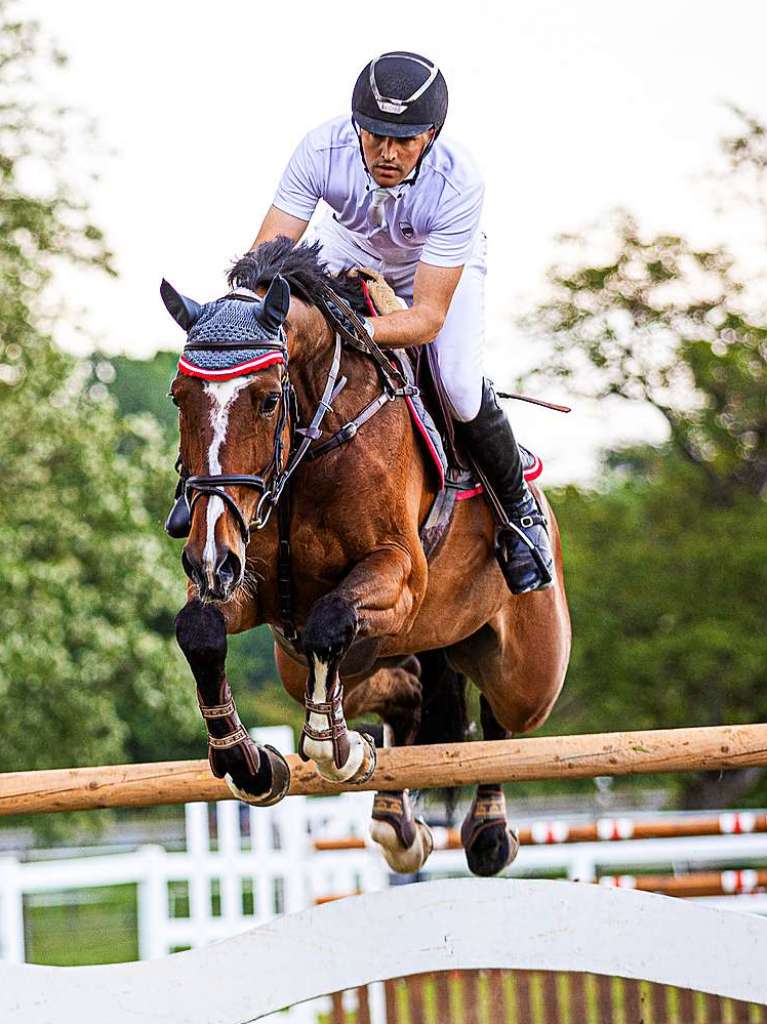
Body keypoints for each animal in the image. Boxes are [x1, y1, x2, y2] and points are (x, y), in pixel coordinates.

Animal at [161, 235, 569, 876]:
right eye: (179, 398)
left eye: (268, 400)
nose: (208, 557)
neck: (312, 441)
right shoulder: (249, 585)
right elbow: (199, 631)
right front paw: (248, 764)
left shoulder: (399, 574)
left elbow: (329, 620)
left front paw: (333, 747)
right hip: (327, 660)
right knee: (406, 695)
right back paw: (396, 824)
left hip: (528, 670)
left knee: (503, 718)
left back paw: (488, 832)